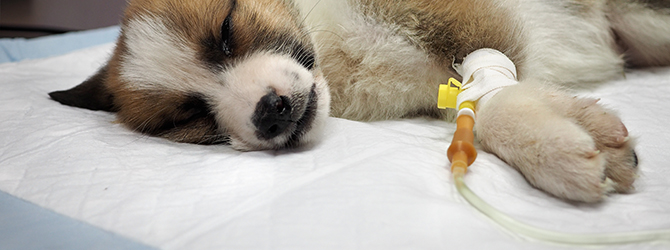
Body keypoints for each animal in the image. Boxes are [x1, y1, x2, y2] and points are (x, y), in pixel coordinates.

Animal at [51, 0, 670, 202]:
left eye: (225, 31)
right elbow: (478, 109)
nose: (269, 111)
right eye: (187, 115)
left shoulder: (474, 22)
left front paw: (551, 143)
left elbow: (492, 94)